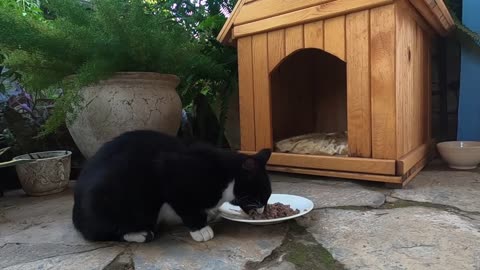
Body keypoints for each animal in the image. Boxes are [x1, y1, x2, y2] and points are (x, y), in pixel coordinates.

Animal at [72, 130, 272, 243]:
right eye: (262, 194)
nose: (263, 209)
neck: (225, 175)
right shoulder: (171, 175)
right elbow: (187, 207)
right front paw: (200, 229)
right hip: (120, 203)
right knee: (101, 233)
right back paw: (139, 234)